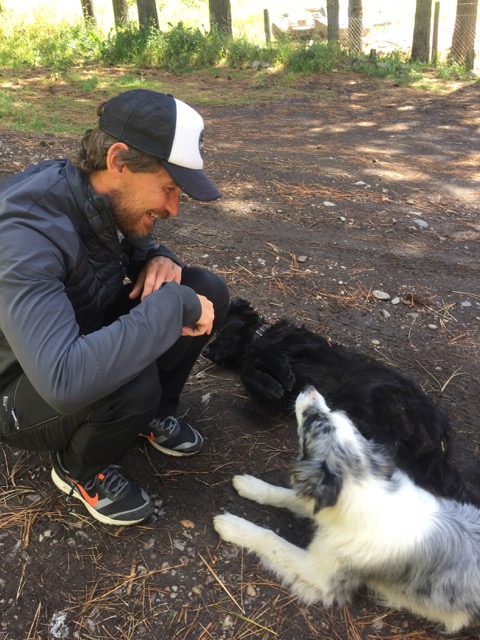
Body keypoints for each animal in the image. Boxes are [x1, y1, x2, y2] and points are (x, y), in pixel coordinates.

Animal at [204, 298, 475, 503]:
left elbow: (272, 355)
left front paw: (281, 375)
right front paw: (271, 386)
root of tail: (442, 439)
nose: (205, 352)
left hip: (386, 409)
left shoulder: (302, 347)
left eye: (219, 330)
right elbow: (249, 373)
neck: (255, 340)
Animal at [214, 386, 480, 636]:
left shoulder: (321, 574)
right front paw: (250, 485)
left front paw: (232, 525)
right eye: (336, 415)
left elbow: (272, 539)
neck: (364, 487)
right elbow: (283, 494)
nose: (310, 387)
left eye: (313, 421)